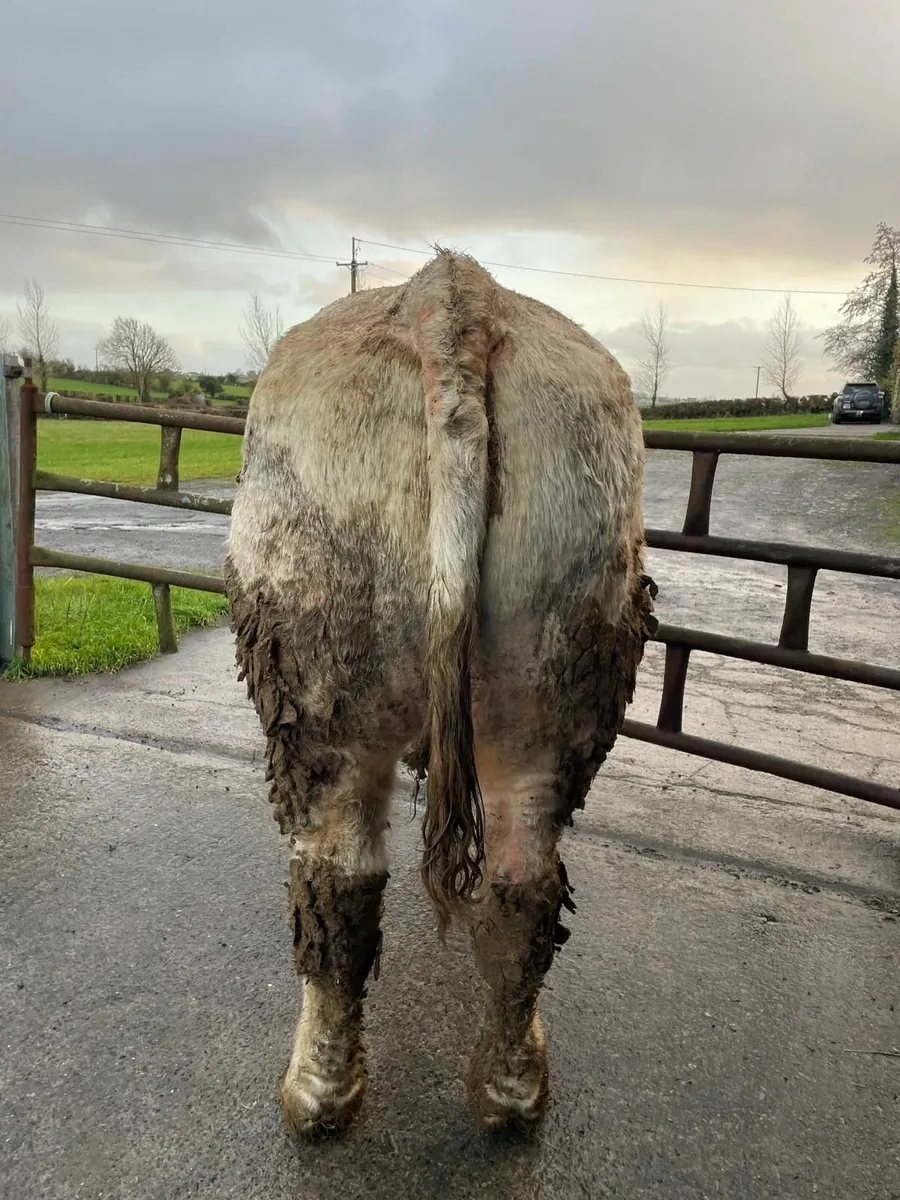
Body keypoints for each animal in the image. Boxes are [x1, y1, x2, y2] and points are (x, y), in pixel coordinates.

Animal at [224, 249, 656, 1140]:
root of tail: (454, 297)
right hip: (553, 667)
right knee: (523, 885)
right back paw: (510, 1090)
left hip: (319, 689)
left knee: (337, 882)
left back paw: (318, 1092)